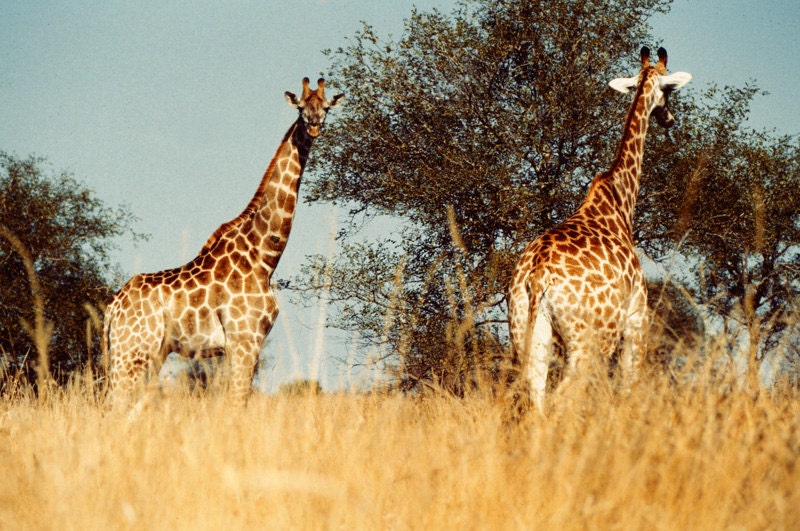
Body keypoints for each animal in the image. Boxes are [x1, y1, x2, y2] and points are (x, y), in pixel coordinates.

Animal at [103, 77, 344, 408]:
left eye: (326, 106)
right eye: (301, 107)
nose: (315, 123)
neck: (263, 257)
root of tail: (111, 309)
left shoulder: (248, 344)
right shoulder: (244, 340)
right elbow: (236, 403)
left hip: (148, 354)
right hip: (132, 352)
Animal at [507, 47, 691, 412]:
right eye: (669, 90)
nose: (669, 119)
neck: (620, 202)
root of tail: (538, 275)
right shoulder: (637, 319)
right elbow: (628, 387)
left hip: (527, 332)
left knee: (536, 395)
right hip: (591, 338)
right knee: (564, 396)